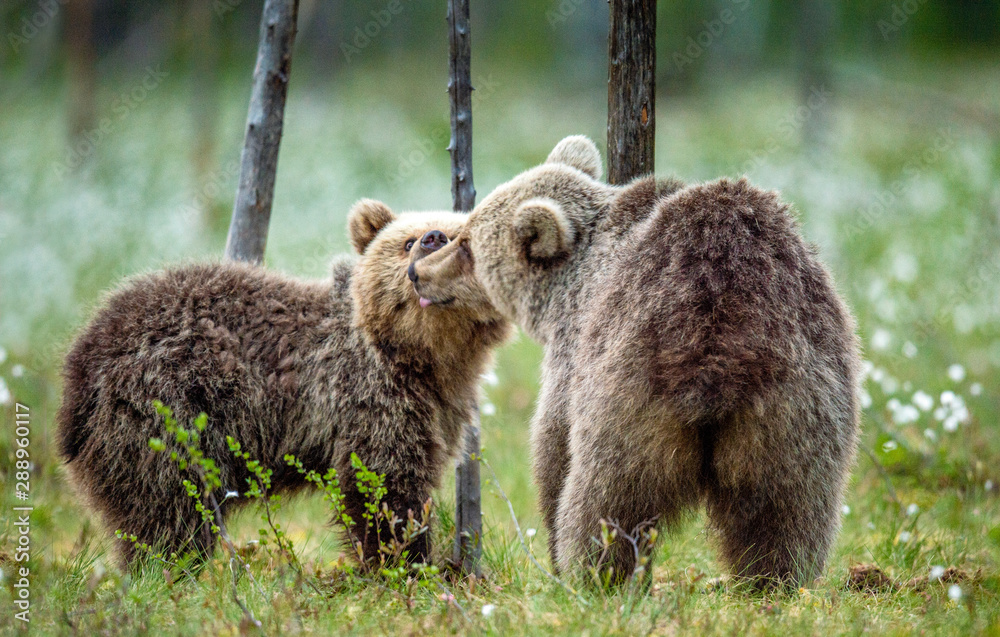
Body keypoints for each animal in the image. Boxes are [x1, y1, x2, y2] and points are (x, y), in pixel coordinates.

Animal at [56, 200, 509, 569]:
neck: (424, 357)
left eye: (458, 238)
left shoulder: (436, 403)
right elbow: (383, 482)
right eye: (408, 240)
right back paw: (170, 571)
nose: (433, 238)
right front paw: (403, 564)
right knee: (171, 508)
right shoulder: (367, 394)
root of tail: (81, 359)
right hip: (164, 411)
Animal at [409, 135, 861, 588]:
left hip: (630, 391)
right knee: (787, 508)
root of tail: (718, 353)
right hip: (798, 398)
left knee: (606, 496)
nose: (418, 272)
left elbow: (553, 442)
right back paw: (775, 580)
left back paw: (592, 576)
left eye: (467, 244)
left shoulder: (575, 340)